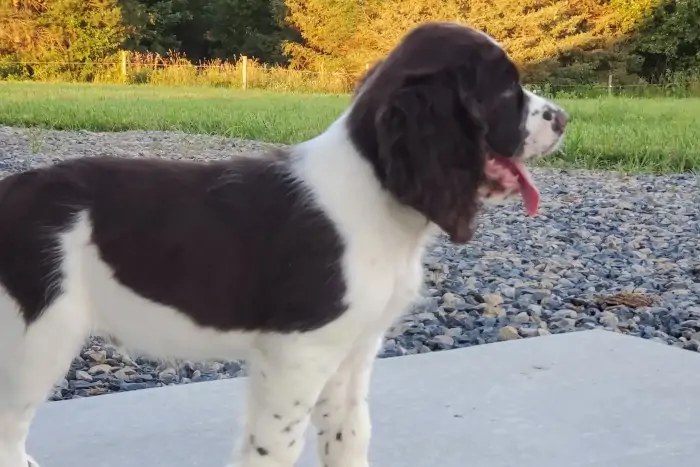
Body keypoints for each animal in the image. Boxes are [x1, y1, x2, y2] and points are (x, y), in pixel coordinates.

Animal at [0, 21, 568, 467]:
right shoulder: (299, 352)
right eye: (505, 91)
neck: (374, 195)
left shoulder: (353, 350)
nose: (563, 118)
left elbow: (350, 435)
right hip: (36, 338)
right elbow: (278, 445)